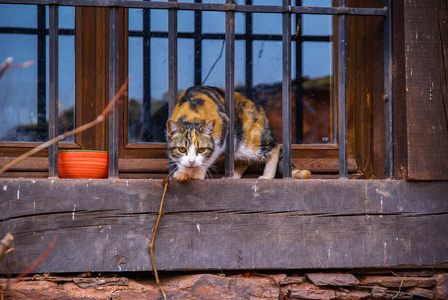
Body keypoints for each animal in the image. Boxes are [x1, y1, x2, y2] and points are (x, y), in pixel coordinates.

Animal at [166, 85, 310, 182]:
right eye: (182, 149)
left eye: (201, 149)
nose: (191, 162)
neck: (192, 117)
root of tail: (257, 107)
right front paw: (182, 173)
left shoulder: (221, 135)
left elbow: (209, 158)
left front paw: (197, 174)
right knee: (244, 161)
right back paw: (233, 177)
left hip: (247, 140)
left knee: (275, 148)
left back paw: (266, 177)